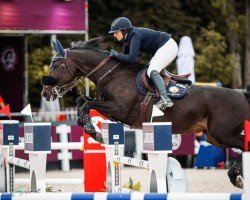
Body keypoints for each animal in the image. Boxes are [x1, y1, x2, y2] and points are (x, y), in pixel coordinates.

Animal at [41, 36, 250, 189]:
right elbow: (82, 101)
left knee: (244, 145)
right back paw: (235, 174)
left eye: (56, 66)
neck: (112, 75)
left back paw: (236, 175)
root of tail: (242, 95)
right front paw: (89, 127)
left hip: (222, 134)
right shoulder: (110, 108)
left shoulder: (120, 110)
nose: (45, 93)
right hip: (214, 137)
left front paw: (94, 132)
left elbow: (87, 104)